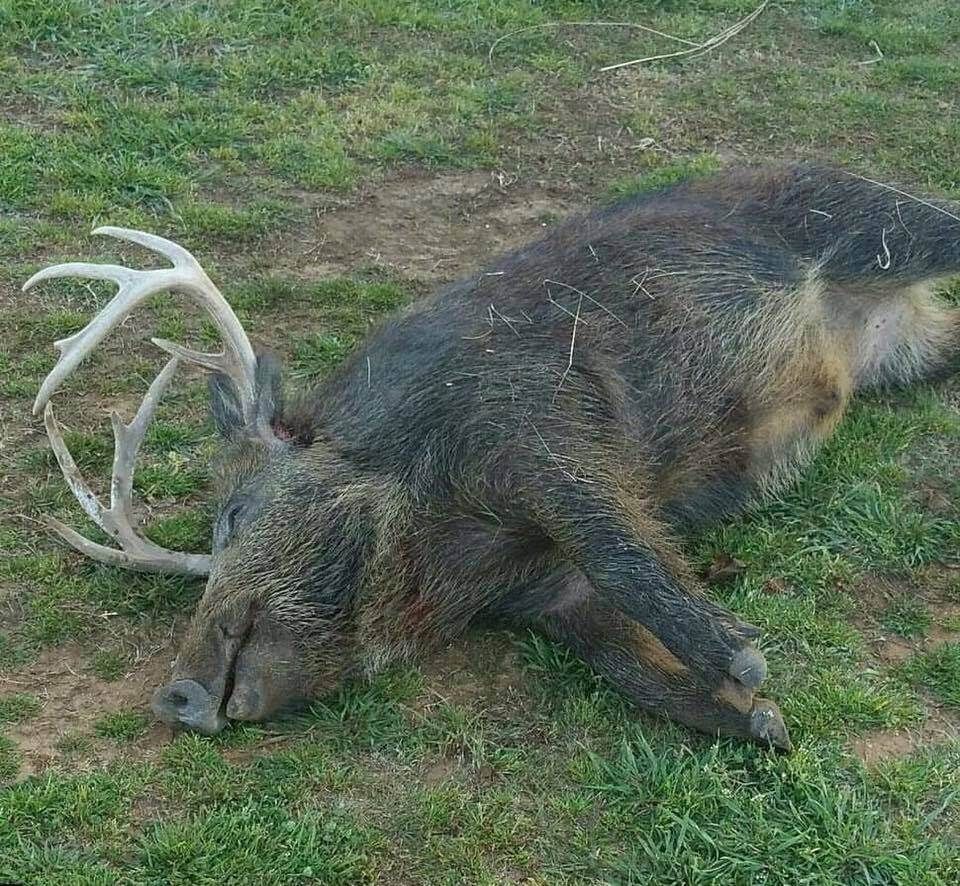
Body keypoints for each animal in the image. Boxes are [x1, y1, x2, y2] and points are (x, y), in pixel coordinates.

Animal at [23, 164, 960, 751]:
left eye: (234, 514)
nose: (172, 697)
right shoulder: (550, 592)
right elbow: (623, 660)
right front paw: (763, 719)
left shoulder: (539, 428)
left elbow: (619, 547)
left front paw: (747, 661)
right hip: (917, 349)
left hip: (875, 220)